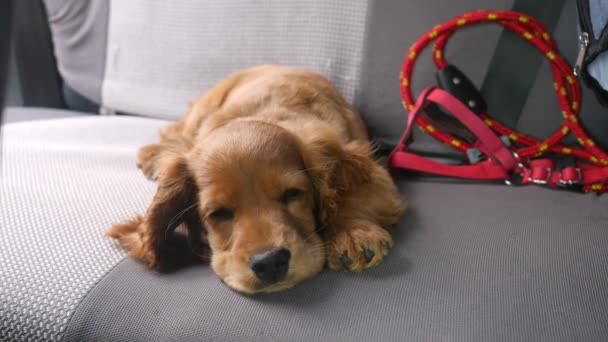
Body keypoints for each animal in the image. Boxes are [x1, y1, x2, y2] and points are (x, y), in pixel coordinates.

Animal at [107, 65, 406, 294]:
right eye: (219, 213)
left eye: (292, 194)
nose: (270, 262)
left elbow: (351, 195)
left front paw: (351, 231)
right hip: (199, 113)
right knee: (175, 134)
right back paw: (152, 155)